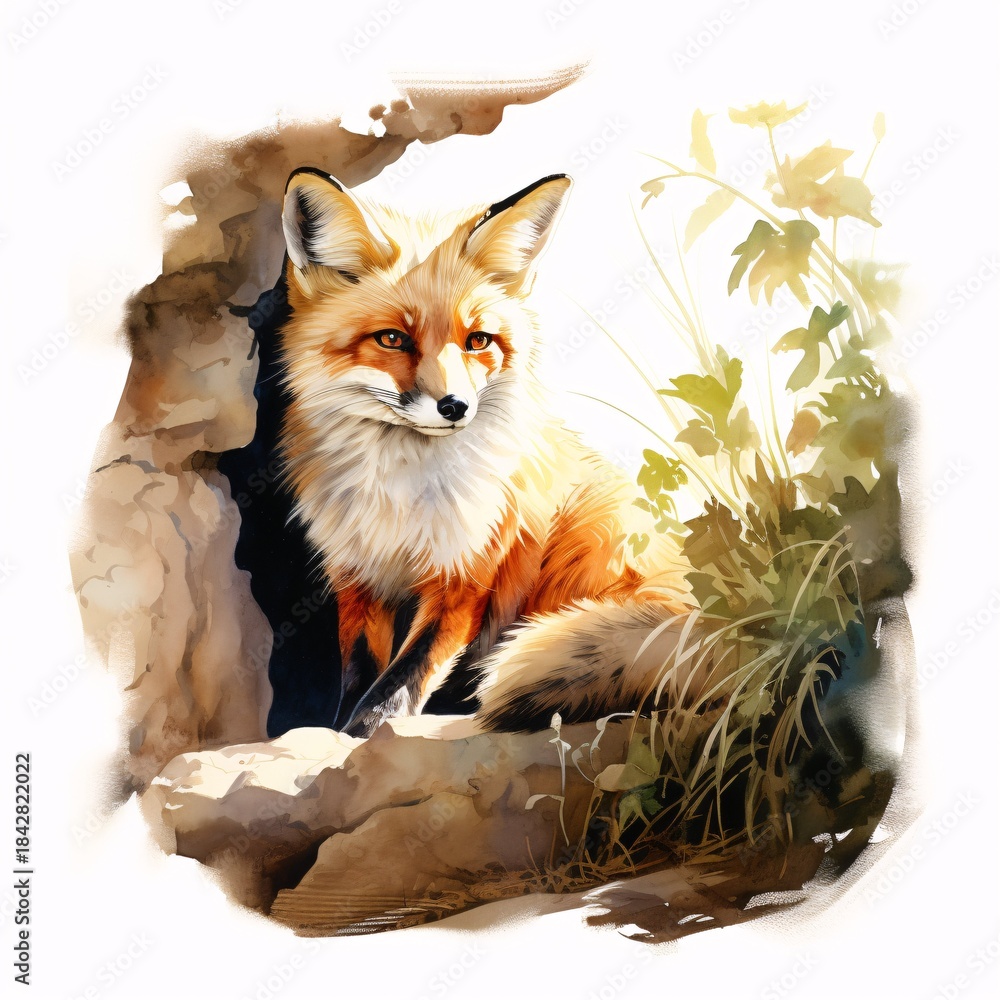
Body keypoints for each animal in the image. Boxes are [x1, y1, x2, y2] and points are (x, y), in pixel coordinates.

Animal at [277, 167, 704, 738]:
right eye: (392, 339)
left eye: (478, 340)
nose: (455, 406)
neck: (399, 495)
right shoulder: (360, 577)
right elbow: (360, 672)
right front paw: (337, 733)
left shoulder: (464, 575)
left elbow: (401, 680)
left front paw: (364, 734)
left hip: (595, 543)